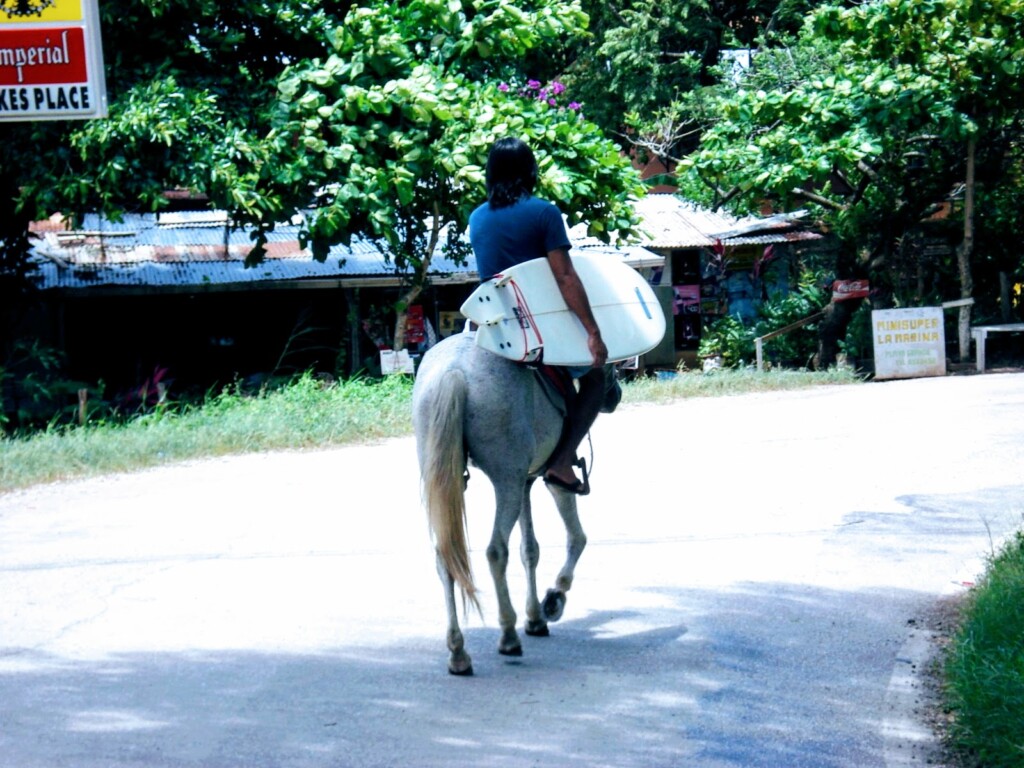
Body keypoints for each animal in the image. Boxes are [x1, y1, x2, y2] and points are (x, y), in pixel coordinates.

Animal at [411, 333, 610, 675]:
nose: (614, 395)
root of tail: (454, 372)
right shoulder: (547, 478)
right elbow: (577, 538)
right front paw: (553, 599)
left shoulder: (525, 482)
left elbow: (530, 549)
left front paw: (535, 618)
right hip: (506, 479)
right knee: (495, 551)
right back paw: (507, 635)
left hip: (451, 476)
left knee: (446, 555)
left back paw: (458, 652)